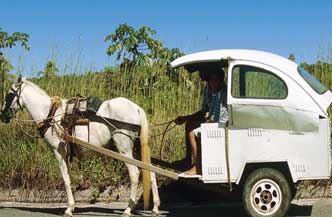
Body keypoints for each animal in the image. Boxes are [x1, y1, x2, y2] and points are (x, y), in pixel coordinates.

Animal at [0, 77, 161, 216]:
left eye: (10, 94)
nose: (3, 116)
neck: (52, 115)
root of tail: (137, 108)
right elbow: (69, 179)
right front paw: (72, 206)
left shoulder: (59, 153)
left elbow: (66, 180)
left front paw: (69, 209)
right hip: (137, 149)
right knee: (151, 171)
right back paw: (155, 207)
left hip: (125, 149)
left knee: (134, 174)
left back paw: (128, 209)